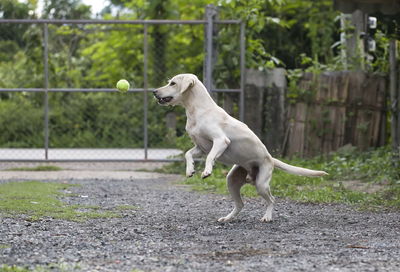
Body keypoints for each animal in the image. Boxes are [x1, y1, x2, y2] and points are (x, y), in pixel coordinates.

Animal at [154, 73, 328, 222]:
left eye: (172, 83)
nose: (155, 91)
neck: (198, 111)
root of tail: (270, 158)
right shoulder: (200, 147)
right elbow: (187, 154)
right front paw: (190, 170)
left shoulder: (220, 141)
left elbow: (210, 157)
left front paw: (207, 171)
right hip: (231, 181)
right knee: (240, 204)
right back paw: (227, 218)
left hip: (262, 184)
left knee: (272, 200)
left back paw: (267, 217)